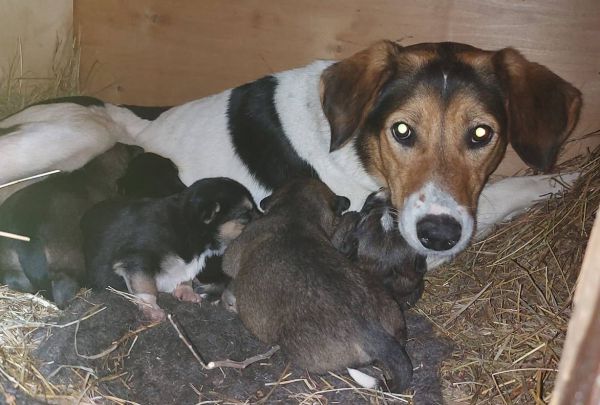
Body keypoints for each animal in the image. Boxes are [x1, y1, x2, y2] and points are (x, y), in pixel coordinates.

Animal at [0, 144, 140, 304]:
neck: (96, 172)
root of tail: (27, 234)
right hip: (68, 263)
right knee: (63, 292)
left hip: (10, 266)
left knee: (15, 279)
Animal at [81, 175, 255, 320]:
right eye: (246, 215)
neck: (188, 226)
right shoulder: (136, 260)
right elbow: (146, 286)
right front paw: (153, 310)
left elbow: (185, 278)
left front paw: (187, 293)